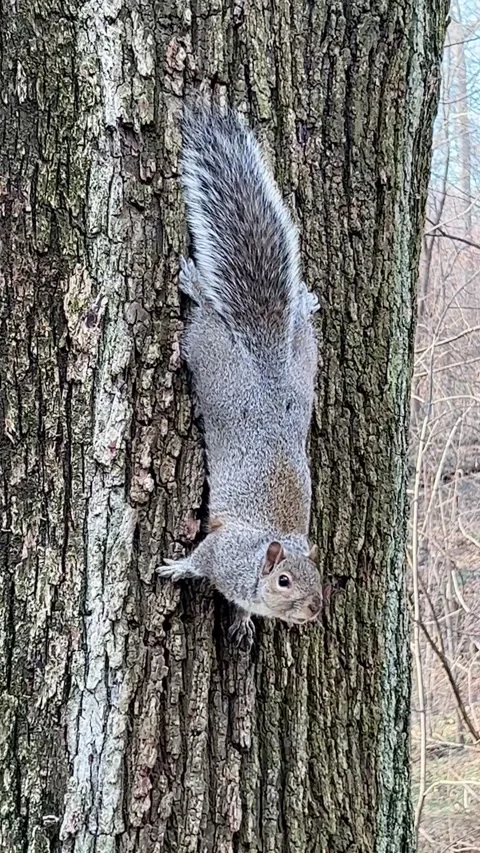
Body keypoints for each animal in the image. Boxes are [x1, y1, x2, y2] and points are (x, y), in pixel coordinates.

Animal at [158, 105, 322, 647]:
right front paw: (176, 569)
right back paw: (196, 286)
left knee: (300, 328)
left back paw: (304, 304)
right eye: (284, 579)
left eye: (321, 579)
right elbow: (200, 561)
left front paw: (244, 621)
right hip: (210, 351)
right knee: (208, 314)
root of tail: (267, 364)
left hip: (304, 359)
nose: (314, 609)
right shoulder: (222, 552)